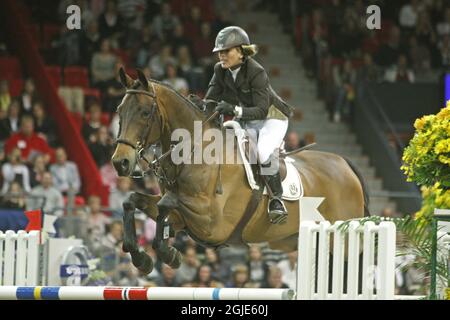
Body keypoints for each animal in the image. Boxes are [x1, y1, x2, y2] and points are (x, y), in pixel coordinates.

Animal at [110, 69, 368, 274]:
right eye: (119, 110)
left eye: (145, 112)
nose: (120, 162)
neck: (194, 151)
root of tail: (344, 163)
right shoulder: (184, 219)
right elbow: (133, 200)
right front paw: (141, 258)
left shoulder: (213, 223)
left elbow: (166, 202)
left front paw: (168, 254)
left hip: (343, 241)